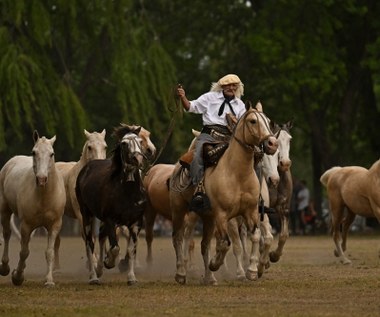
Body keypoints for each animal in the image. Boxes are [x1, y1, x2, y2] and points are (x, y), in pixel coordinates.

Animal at [0, 131, 65, 286]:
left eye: (52, 154)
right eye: (34, 152)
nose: (41, 179)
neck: (44, 197)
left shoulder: (54, 225)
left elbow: (49, 252)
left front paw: (49, 281)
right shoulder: (26, 225)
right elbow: (24, 252)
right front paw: (17, 277)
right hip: (5, 210)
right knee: (7, 235)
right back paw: (5, 267)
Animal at [75, 124, 148, 284]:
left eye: (140, 141)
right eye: (124, 143)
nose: (138, 158)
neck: (128, 191)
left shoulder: (136, 223)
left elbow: (131, 250)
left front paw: (131, 277)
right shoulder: (109, 219)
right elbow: (115, 248)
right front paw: (109, 261)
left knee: (101, 236)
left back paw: (99, 269)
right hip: (87, 215)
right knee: (90, 243)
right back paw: (94, 276)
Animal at [171, 103, 278, 284]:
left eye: (268, 120)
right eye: (253, 121)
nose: (272, 143)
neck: (238, 174)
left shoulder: (252, 212)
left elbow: (257, 237)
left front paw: (253, 270)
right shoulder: (223, 216)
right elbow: (228, 244)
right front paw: (221, 265)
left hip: (207, 217)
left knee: (205, 244)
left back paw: (210, 277)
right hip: (186, 212)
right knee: (182, 237)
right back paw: (182, 273)